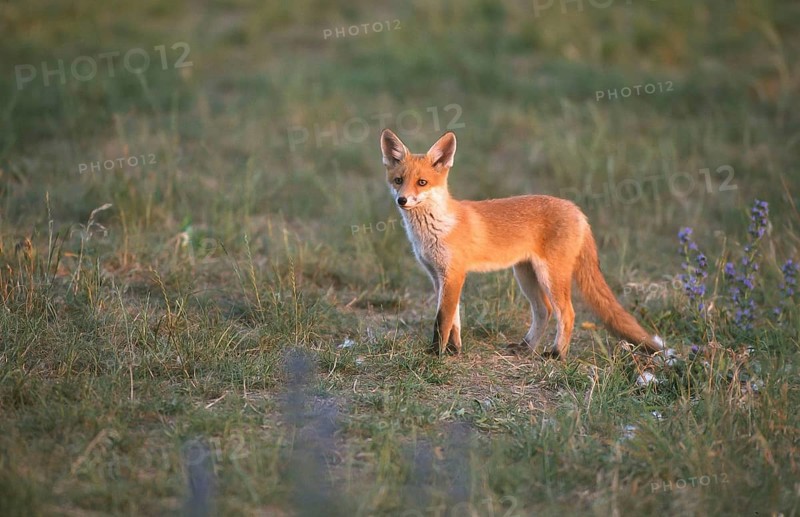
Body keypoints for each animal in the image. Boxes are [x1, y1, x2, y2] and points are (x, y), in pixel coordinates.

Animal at [380, 128, 665, 359]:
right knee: (544, 311)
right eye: (398, 180)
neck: (435, 228)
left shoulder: (454, 274)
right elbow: (454, 320)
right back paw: (527, 347)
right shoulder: (439, 276)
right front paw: (453, 350)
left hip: (551, 276)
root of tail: (577, 210)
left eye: (422, 182)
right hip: (526, 274)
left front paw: (435, 354)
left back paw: (557, 354)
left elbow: (442, 320)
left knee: (567, 313)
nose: (402, 200)